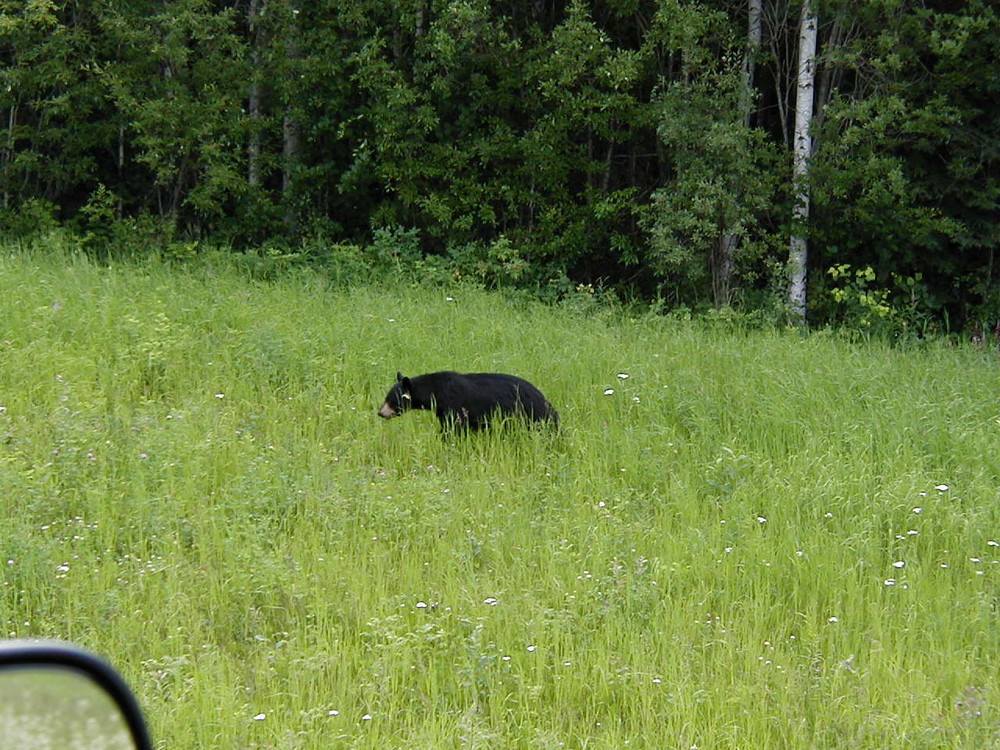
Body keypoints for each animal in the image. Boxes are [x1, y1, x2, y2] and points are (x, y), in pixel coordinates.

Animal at [376, 372, 560, 432]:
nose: (380, 412)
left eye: (391, 399)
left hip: (530, 414)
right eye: (387, 397)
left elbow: (453, 428)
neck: (436, 392)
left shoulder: (454, 405)